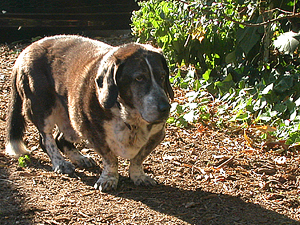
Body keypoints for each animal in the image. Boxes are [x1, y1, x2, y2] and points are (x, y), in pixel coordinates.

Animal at [5, 35, 173, 192]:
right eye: (139, 78)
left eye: (162, 76)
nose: (166, 108)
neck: (129, 116)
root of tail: (25, 51)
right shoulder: (95, 134)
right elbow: (110, 159)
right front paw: (109, 179)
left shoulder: (156, 135)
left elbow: (138, 158)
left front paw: (138, 176)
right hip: (42, 108)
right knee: (46, 139)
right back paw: (60, 163)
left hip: (72, 117)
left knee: (60, 138)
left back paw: (80, 158)